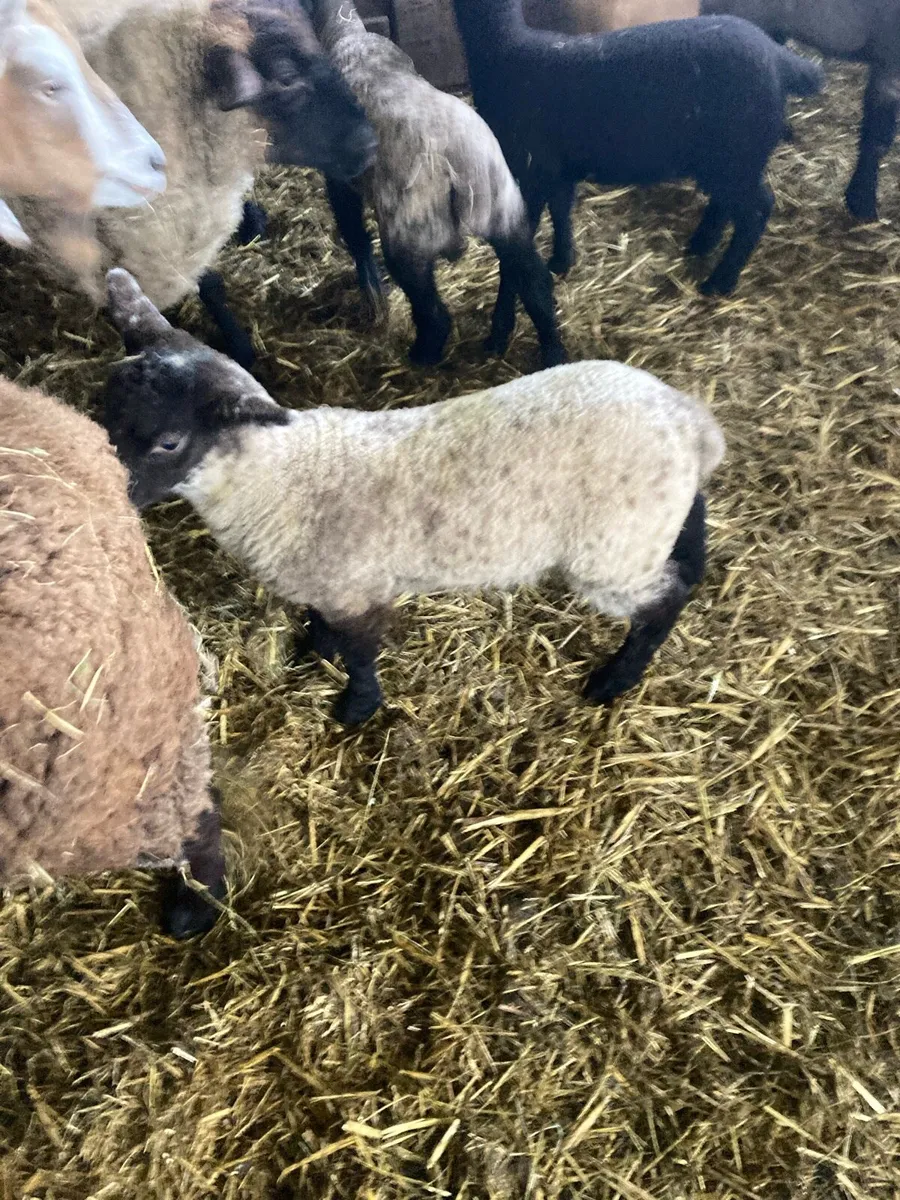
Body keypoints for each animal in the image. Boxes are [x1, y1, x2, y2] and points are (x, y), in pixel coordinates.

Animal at [102, 268, 724, 726]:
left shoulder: (358, 590)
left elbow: (360, 656)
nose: (106, 491)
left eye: (169, 442)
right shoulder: (329, 583)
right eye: (104, 403)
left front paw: (356, 708)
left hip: (610, 552)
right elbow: (323, 625)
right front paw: (315, 648)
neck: (284, 479)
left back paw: (618, 677)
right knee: (689, 543)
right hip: (651, 521)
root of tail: (688, 419)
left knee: (665, 597)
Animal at [293, 0, 566, 368]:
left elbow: (353, 232)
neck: (346, 32)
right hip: (506, 212)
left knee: (432, 310)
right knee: (535, 282)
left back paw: (423, 354)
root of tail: (459, 168)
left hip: (411, 233)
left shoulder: (338, 176)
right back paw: (554, 351)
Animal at [450, 0, 825, 298]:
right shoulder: (558, 167)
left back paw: (721, 281)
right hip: (727, 158)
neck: (505, 49)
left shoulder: (532, 167)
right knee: (726, 204)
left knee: (756, 209)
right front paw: (562, 260)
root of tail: (780, 59)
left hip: (738, 153)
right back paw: (700, 245)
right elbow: (562, 210)